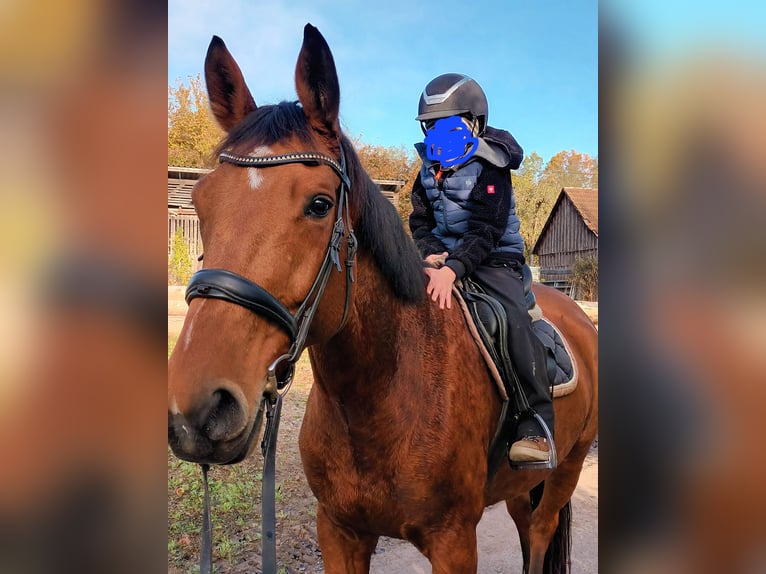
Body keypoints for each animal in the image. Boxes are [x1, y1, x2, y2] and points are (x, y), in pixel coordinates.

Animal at [168, 24, 598, 574]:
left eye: (319, 204)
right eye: (202, 203)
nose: (198, 410)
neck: (382, 392)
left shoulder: (454, 541)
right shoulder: (339, 531)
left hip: (567, 466)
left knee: (541, 533)